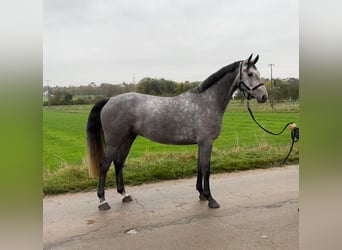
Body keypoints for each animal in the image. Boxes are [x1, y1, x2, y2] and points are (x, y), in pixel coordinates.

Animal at [86, 54, 268, 209]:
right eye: (250, 74)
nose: (264, 97)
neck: (207, 101)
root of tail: (110, 100)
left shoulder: (201, 143)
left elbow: (199, 166)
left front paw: (201, 194)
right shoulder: (207, 142)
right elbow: (206, 168)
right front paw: (211, 199)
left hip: (128, 139)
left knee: (118, 163)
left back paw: (124, 194)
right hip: (114, 142)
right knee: (104, 165)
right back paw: (103, 201)